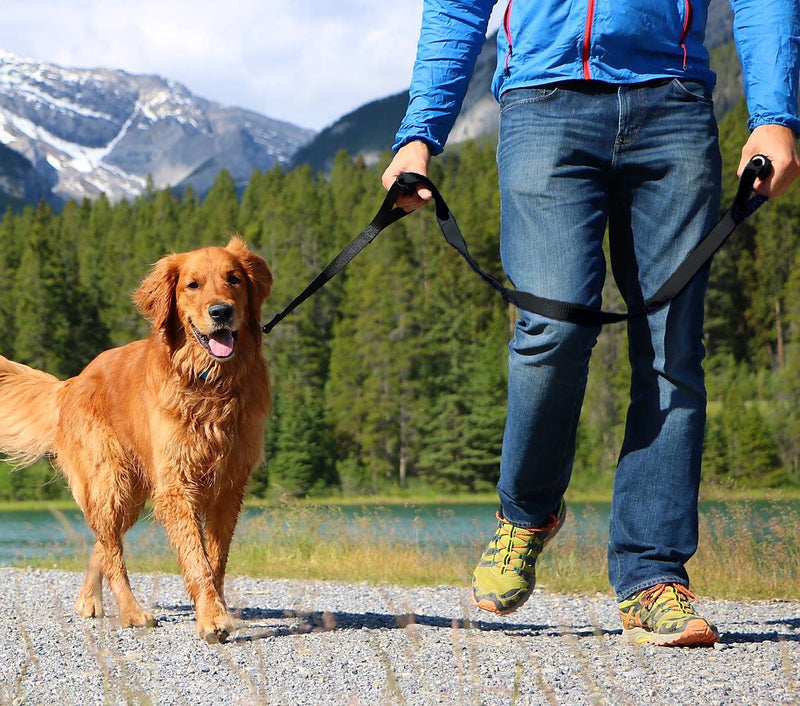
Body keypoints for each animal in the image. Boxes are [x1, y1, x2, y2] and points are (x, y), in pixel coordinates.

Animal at [0, 238, 272, 644]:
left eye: (234, 279)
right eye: (193, 285)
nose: (221, 311)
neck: (208, 382)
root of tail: (72, 383)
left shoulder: (230, 484)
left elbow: (215, 557)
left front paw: (215, 608)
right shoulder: (176, 484)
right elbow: (196, 558)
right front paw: (212, 618)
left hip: (131, 492)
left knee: (103, 542)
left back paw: (89, 600)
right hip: (113, 482)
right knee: (112, 551)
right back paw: (131, 612)